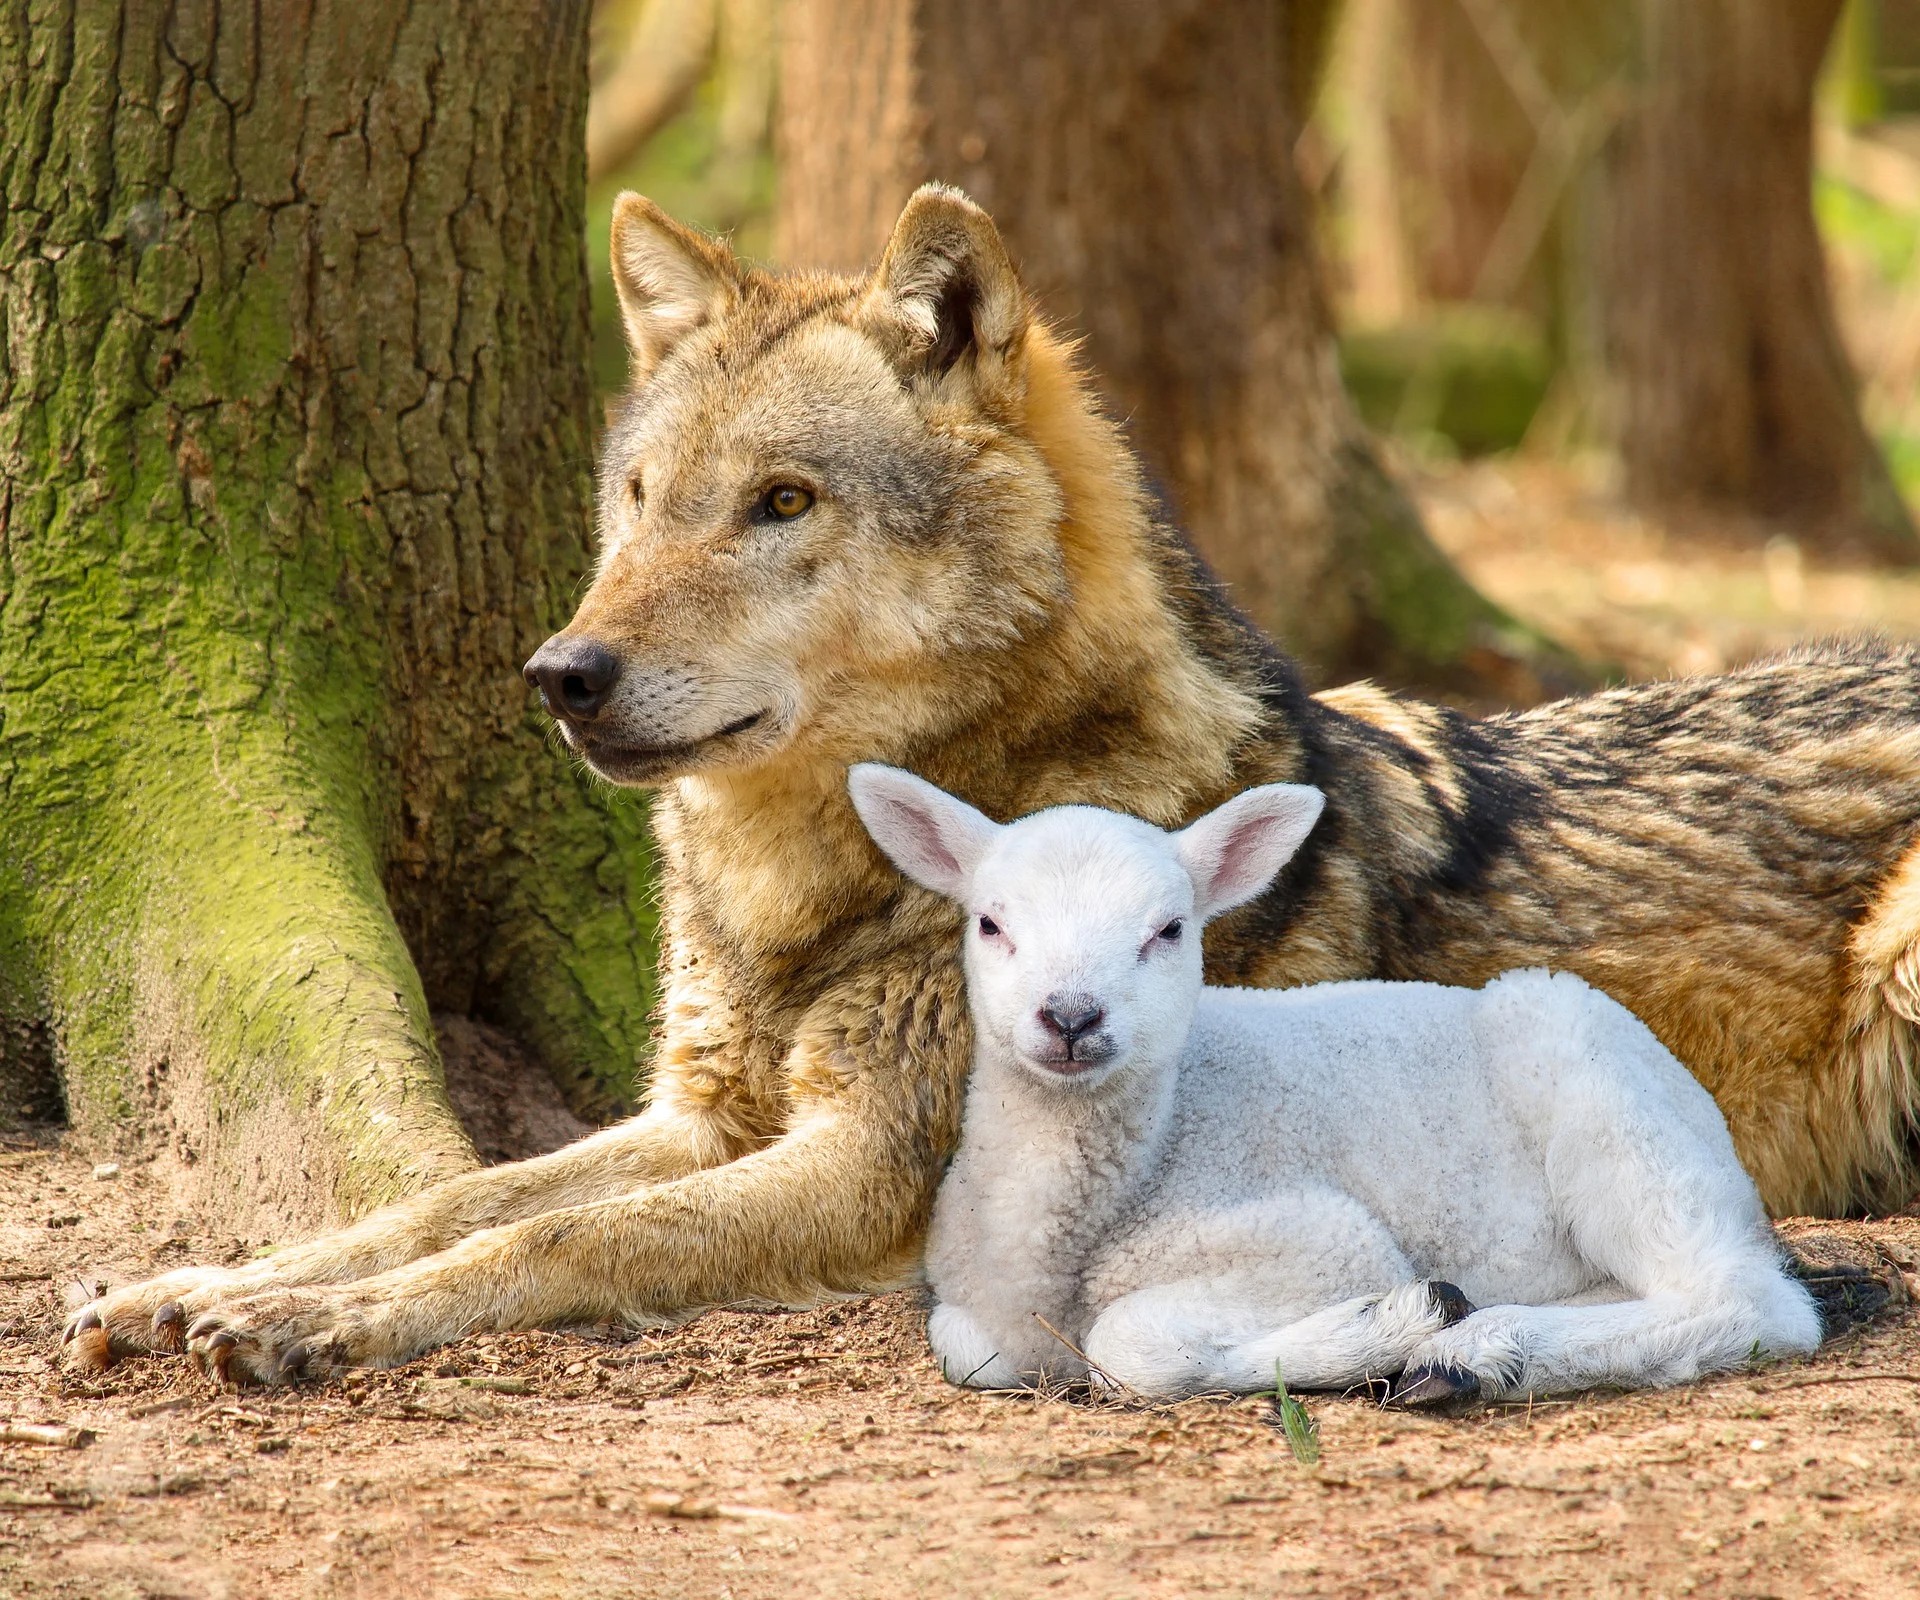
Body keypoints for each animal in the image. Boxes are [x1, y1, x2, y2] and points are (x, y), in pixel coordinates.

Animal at [848, 768, 1820, 1406]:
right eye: (990, 923)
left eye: (1169, 930)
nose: (1071, 1016)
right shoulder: (973, 1306)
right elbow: (967, 1350)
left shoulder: (1318, 1237)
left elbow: (1128, 1345)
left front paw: (1386, 1326)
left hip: (1603, 1094)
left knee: (1745, 1298)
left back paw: (1472, 1354)